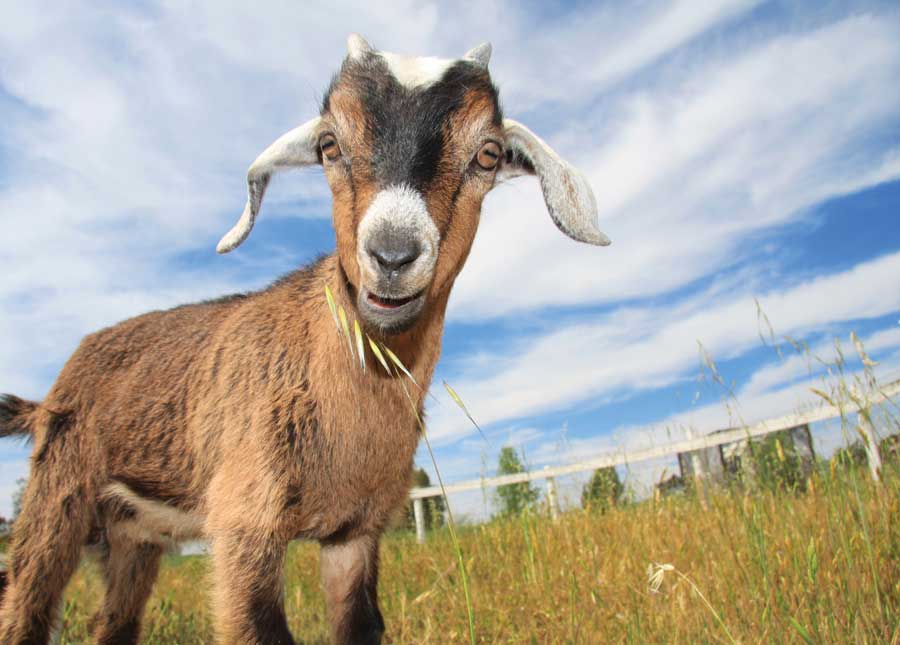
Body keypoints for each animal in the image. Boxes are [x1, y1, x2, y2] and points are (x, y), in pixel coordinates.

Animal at [0, 34, 609, 644]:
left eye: (487, 154)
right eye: (329, 145)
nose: (392, 256)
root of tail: (50, 393)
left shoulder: (355, 531)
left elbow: (360, 623)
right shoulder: (244, 518)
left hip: (134, 534)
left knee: (114, 621)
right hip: (57, 500)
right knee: (24, 603)